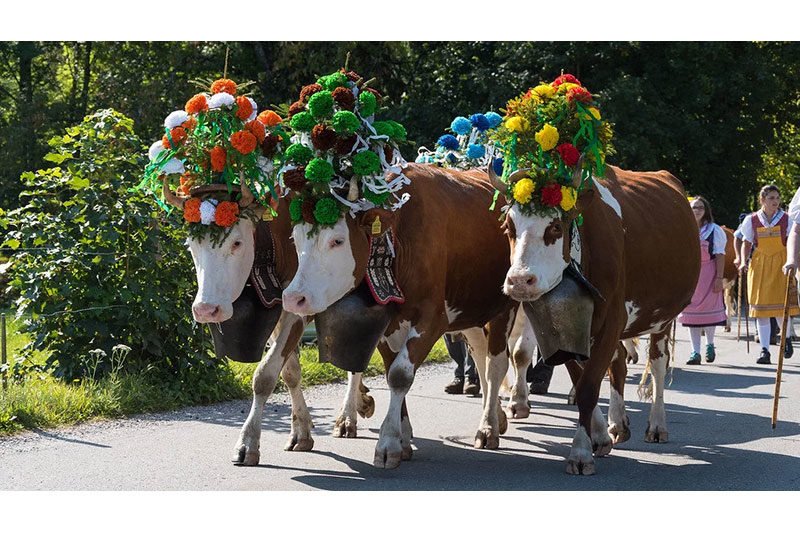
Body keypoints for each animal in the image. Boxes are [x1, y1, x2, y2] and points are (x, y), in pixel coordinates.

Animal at [161, 181, 375, 466]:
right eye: (190, 244)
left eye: (237, 242)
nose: (206, 309)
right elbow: (290, 372)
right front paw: (301, 432)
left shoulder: (298, 307)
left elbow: (265, 375)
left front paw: (247, 442)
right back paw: (361, 401)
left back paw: (347, 416)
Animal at [281, 164, 533, 469]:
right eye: (295, 239)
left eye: (337, 240)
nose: (293, 297)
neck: (398, 240)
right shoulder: (387, 322)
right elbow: (392, 371)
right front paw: (402, 438)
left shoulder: (432, 319)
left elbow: (400, 375)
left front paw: (388, 443)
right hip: (468, 308)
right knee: (480, 355)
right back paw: (496, 414)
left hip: (505, 305)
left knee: (496, 364)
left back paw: (489, 427)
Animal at [490, 162, 700, 475]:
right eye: (509, 227)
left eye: (555, 226)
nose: (518, 281)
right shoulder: (564, 333)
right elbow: (583, 379)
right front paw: (598, 437)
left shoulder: (613, 320)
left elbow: (589, 387)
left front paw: (580, 451)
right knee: (618, 363)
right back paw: (618, 423)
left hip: (663, 318)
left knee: (658, 366)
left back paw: (657, 425)